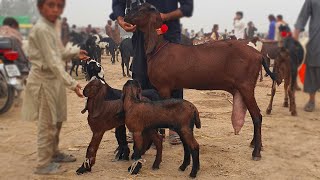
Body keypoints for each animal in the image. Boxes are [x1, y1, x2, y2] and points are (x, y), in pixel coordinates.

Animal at [124, 2, 278, 161]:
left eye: (141, 9)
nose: (126, 14)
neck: (159, 49)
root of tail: (258, 54)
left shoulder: (164, 87)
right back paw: (255, 144)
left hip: (246, 86)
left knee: (257, 116)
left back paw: (256, 151)